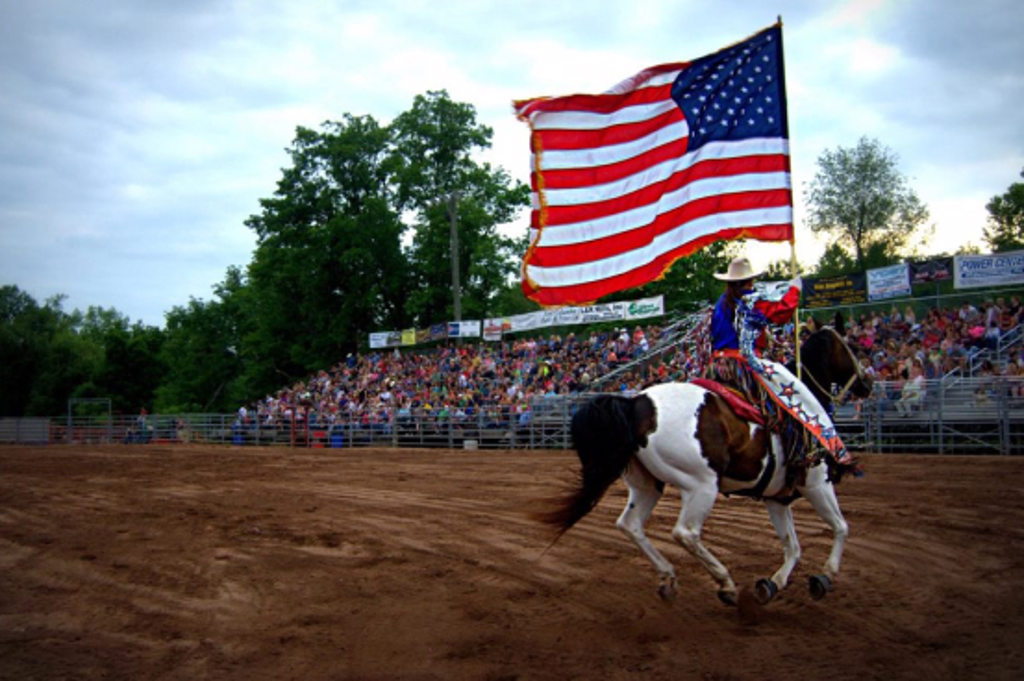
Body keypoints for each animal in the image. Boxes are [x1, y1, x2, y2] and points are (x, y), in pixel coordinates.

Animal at [536, 327, 872, 602]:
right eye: (852, 348)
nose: (867, 382)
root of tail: (635, 404)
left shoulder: (776, 499)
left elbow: (792, 546)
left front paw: (773, 583)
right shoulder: (817, 483)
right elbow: (840, 527)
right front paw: (825, 576)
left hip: (647, 485)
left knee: (630, 524)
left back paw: (669, 578)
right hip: (701, 486)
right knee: (685, 533)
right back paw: (725, 583)